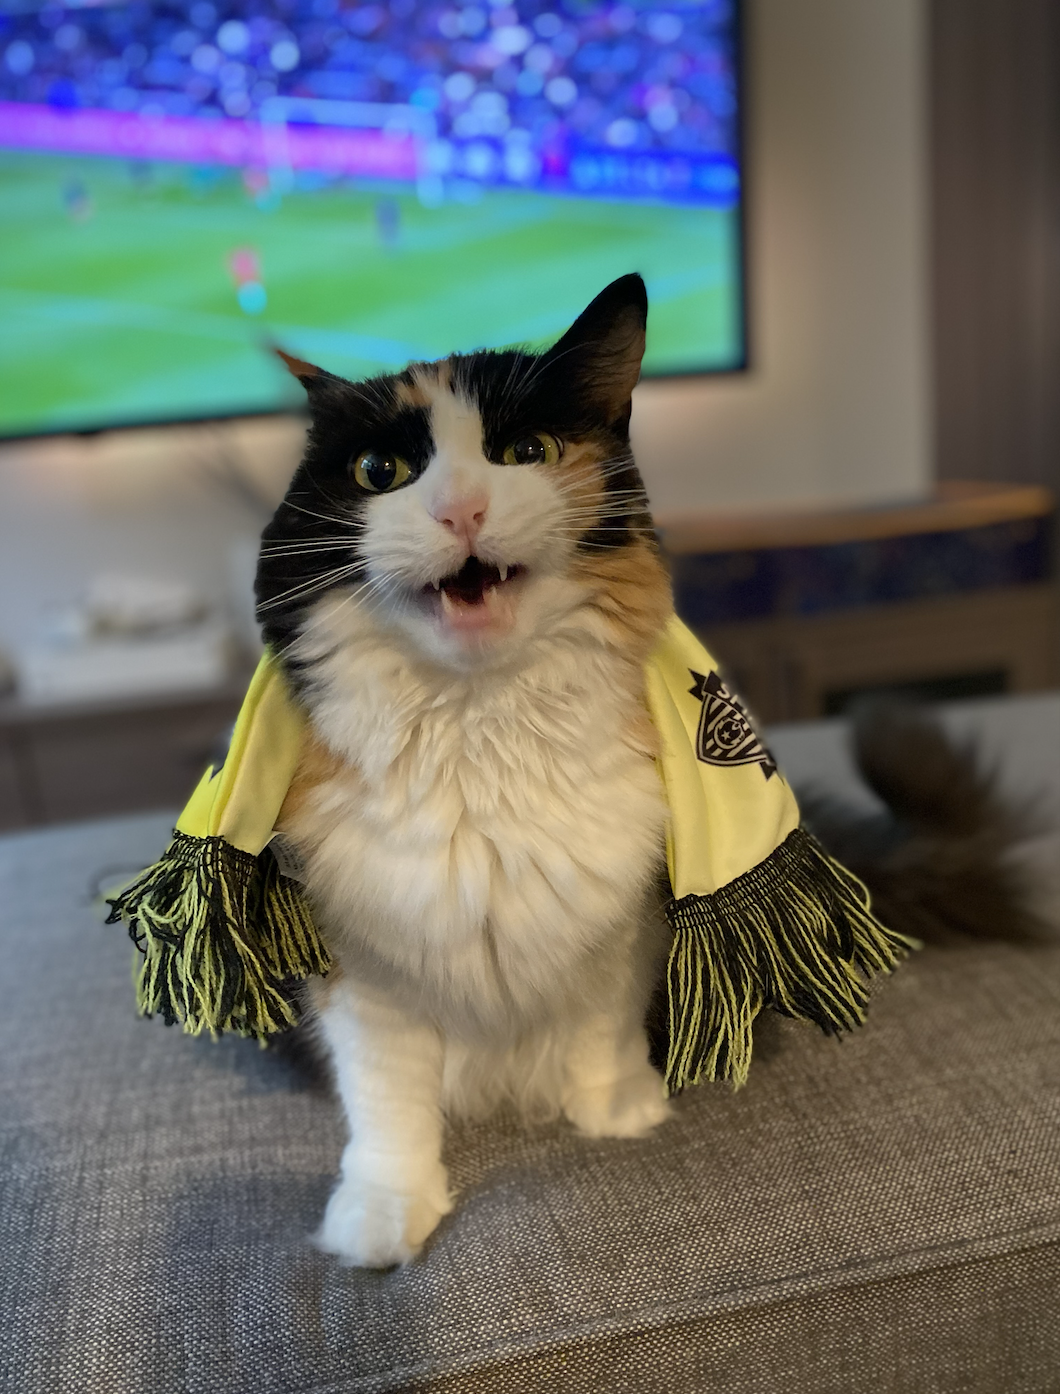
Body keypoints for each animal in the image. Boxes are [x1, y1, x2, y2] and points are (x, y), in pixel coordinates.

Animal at [255, 277, 669, 1271]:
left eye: (527, 453)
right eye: (380, 473)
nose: (462, 511)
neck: (480, 741)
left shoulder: (622, 920)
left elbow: (601, 1029)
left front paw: (614, 1111)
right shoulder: (360, 966)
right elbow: (389, 1102)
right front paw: (382, 1215)